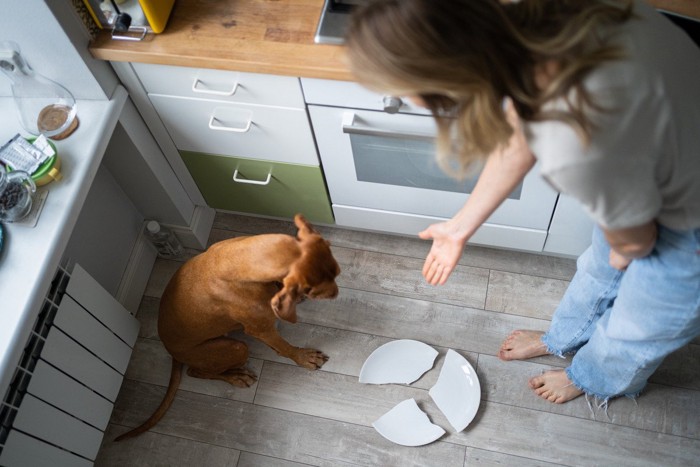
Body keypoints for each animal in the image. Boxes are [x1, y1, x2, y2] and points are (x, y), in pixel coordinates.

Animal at [116, 214, 340, 440]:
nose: (336, 292)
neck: (239, 261)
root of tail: (170, 351)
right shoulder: (261, 329)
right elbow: (285, 348)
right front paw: (303, 357)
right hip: (236, 348)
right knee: (196, 372)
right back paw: (237, 377)